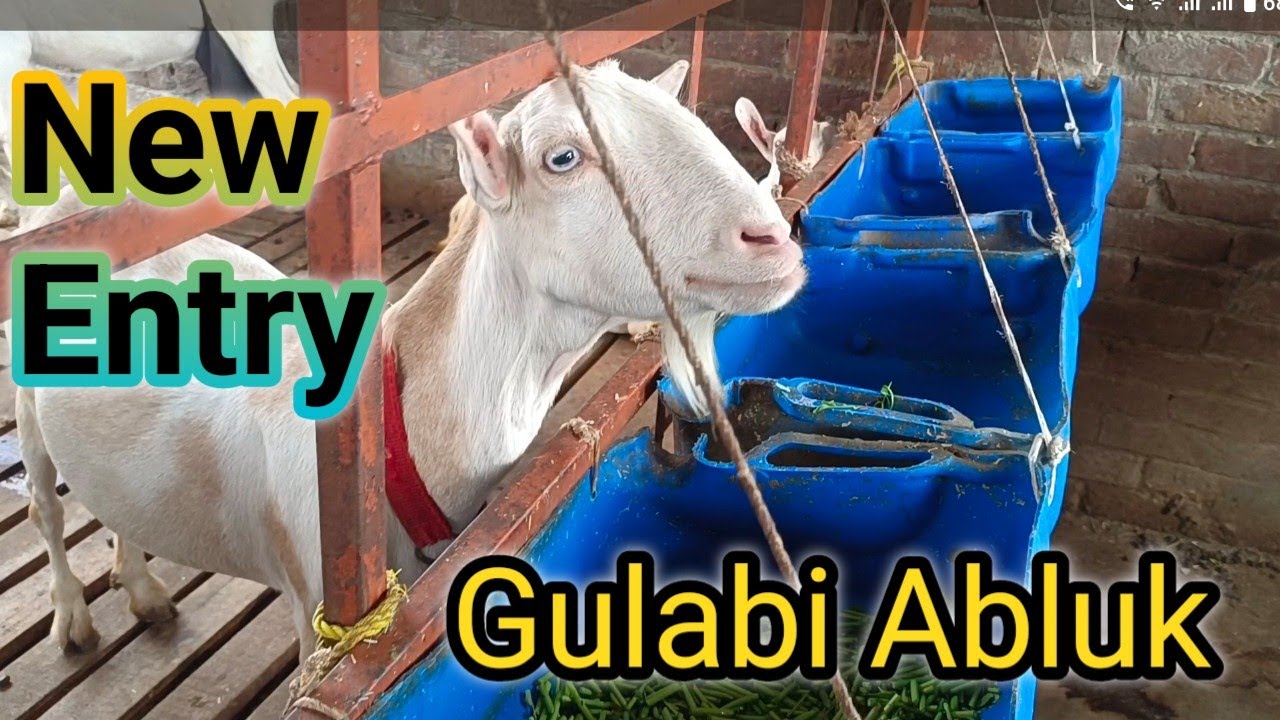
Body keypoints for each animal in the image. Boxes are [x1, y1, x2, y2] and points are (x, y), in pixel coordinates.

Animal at [12, 59, 805, 658]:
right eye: (563, 158)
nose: (772, 239)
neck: (399, 445)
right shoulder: (314, 613)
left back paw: (141, 587)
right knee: (46, 511)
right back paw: (73, 617)